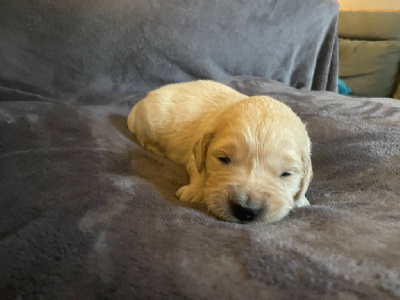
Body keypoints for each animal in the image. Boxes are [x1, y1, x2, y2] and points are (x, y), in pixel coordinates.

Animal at [128, 80, 312, 223]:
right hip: (147, 123)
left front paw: (302, 200)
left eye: (286, 173)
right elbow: (199, 170)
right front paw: (193, 192)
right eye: (224, 159)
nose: (245, 210)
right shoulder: (195, 152)